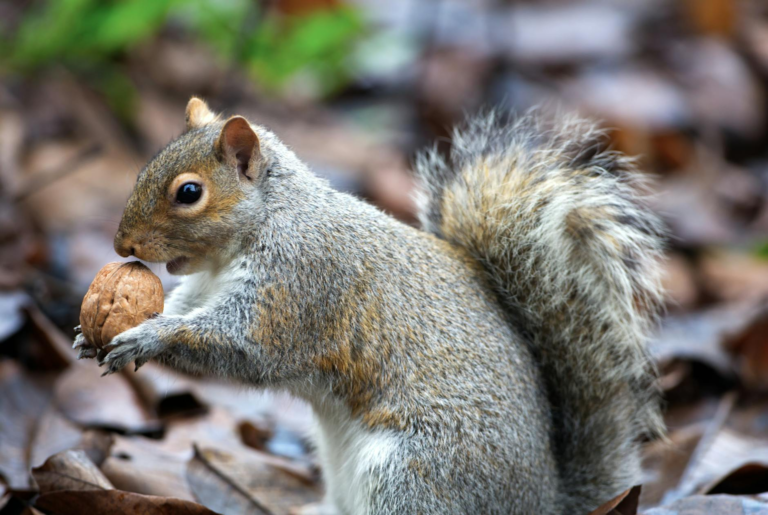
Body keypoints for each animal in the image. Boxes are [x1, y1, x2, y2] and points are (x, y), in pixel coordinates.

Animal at [74, 98, 665, 515]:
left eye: (189, 193)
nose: (122, 246)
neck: (266, 222)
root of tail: (541, 502)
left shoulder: (300, 283)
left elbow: (246, 346)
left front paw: (147, 339)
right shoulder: (202, 289)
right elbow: (184, 309)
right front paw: (88, 335)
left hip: (414, 475)